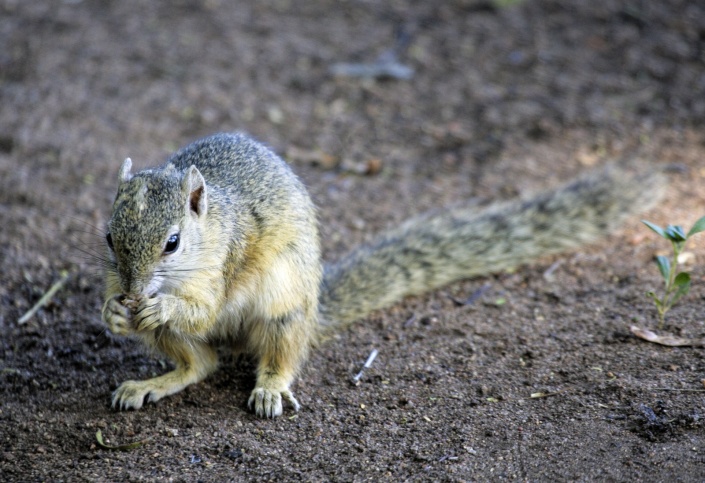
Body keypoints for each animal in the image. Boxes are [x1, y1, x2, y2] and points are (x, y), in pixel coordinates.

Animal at [102, 132, 666, 417]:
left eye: (173, 243)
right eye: (108, 237)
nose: (132, 292)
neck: (210, 227)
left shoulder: (223, 264)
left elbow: (202, 310)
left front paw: (161, 304)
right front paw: (113, 313)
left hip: (284, 305)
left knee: (271, 355)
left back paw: (269, 388)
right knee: (201, 363)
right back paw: (150, 382)